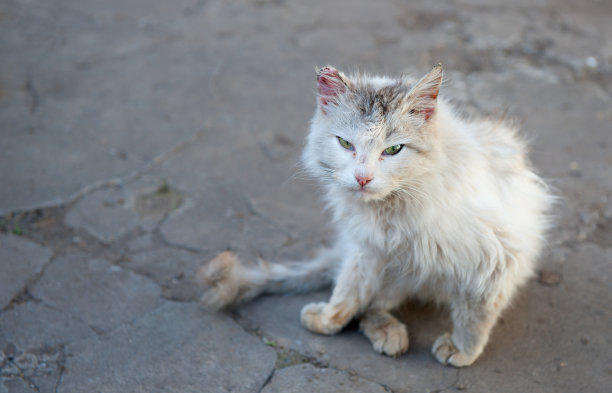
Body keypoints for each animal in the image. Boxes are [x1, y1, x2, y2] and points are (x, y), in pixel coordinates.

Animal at [197, 62, 556, 366]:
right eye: (345, 144)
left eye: (394, 150)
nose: (362, 178)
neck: (392, 207)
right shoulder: (368, 247)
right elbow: (348, 289)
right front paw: (329, 319)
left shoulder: (495, 259)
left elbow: (475, 315)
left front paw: (462, 350)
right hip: (394, 268)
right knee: (369, 305)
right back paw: (388, 333)